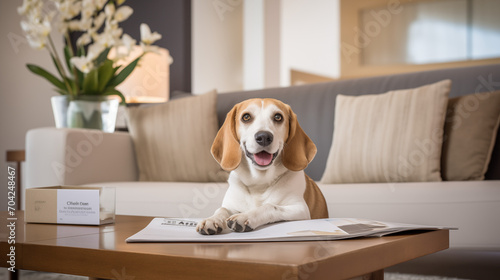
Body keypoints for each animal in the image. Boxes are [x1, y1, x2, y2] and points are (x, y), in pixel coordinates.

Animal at [197, 98, 330, 234]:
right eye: (246, 117)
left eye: (278, 117)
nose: (264, 136)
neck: (259, 183)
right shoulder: (230, 205)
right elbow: (222, 209)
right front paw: (212, 219)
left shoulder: (300, 209)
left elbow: (270, 206)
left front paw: (245, 216)